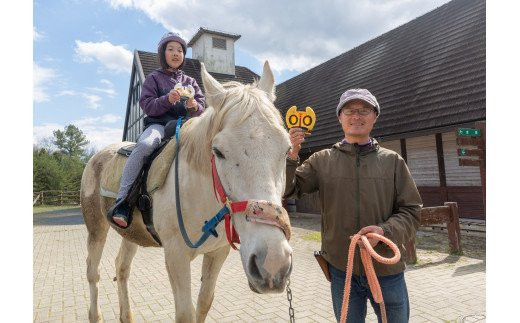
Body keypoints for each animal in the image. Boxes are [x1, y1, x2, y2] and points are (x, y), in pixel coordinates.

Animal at [80, 62, 292, 322]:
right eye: (218, 151)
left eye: (287, 149)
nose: (272, 263)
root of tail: (96, 157)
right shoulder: (176, 257)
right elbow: (185, 313)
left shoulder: (218, 254)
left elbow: (204, 303)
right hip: (96, 228)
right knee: (93, 272)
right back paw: (95, 315)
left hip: (131, 233)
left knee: (122, 268)